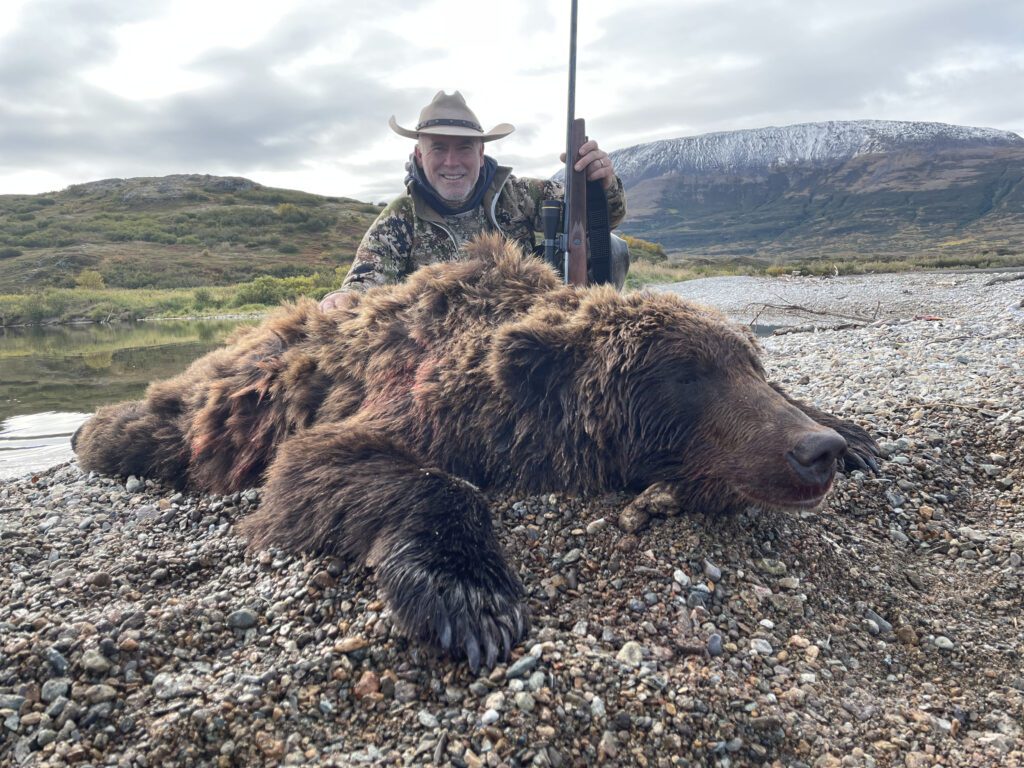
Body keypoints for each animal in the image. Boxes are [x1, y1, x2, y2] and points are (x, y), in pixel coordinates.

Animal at [72, 234, 876, 671]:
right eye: (687, 377)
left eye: (752, 366)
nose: (815, 453)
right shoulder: (404, 398)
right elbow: (334, 468)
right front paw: (470, 595)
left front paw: (855, 431)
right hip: (194, 415)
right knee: (144, 432)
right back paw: (89, 432)